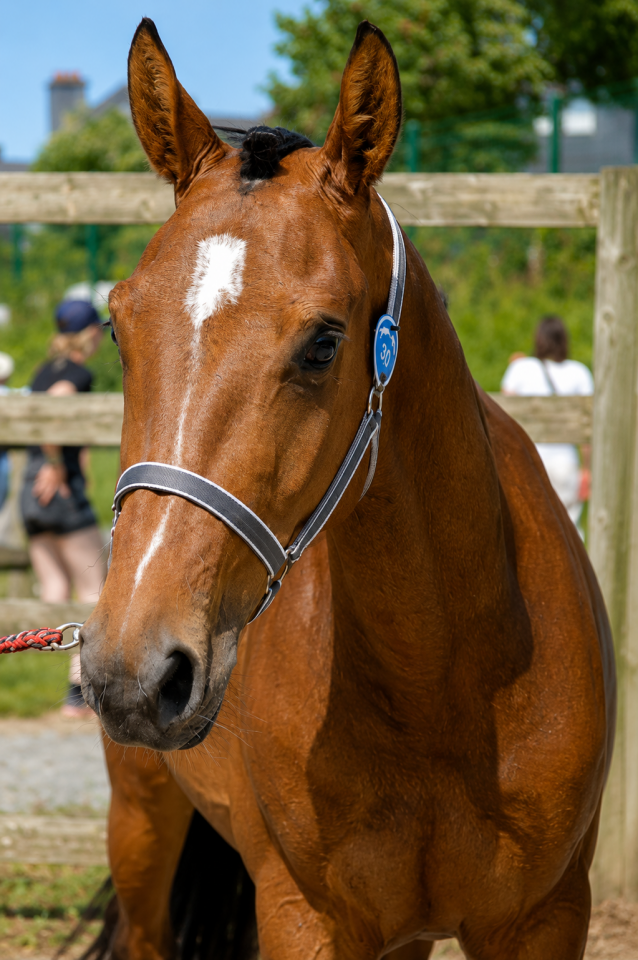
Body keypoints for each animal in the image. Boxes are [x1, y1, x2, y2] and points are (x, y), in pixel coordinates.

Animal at [80, 17, 615, 960]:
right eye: (118, 323)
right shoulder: (305, 916)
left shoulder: (547, 918)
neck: (446, 685)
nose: (135, 670)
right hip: (142, 818)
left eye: (324, 342)